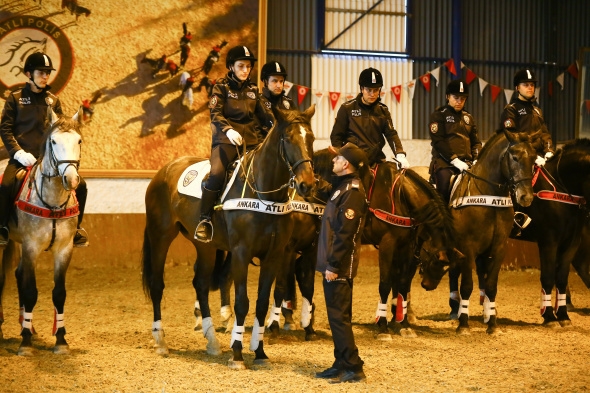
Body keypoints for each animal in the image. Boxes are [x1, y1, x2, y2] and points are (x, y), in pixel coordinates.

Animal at [141, 104, 316, 368]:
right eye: (288, 139)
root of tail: (163, 171)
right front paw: (237, 353)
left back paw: (212, 341)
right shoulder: (241, 253)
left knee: (201, 284)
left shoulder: (274, 255)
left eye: (311, 139)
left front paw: (260, 352)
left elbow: (261, 304)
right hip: (160, 235)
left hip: (205, 246)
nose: (308, 184)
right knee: (157, 284)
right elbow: (242, 302)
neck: (264, 193)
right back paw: (161, 341)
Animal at [450, 130, 544, 332]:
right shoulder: (467, 247)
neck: (489, 197)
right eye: (514, 157)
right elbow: (466, 285)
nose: (526, 197)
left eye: (534, 159)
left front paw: (492, 323)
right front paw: (464, 324)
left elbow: (491, 285)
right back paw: (455, 311)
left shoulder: (499, 247)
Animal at [520, 139, 590, 326]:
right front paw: (549, 317)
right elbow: (548, 276)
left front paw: (563, 315)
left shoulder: (572, 243)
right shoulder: (549, 241)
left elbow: (561, 277)